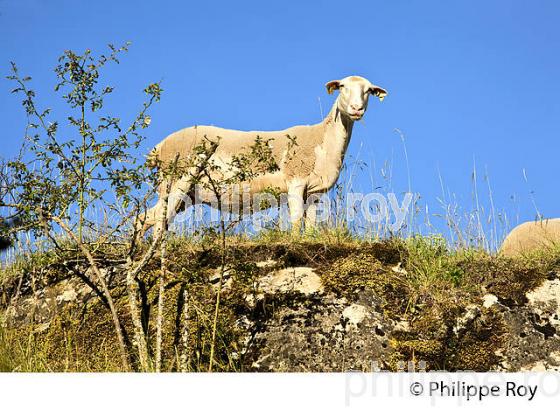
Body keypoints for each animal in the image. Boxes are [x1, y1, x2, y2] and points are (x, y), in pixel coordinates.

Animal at [138, 74, 388, 234]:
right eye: (343, 87)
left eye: (368, 91)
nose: (357, 109)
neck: (322, 140)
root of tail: (159, 147)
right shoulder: (295, 182)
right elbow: (296, 221)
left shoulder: (314, 192)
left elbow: (311, 225)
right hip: (175, 180)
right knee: (159, 219)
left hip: (188, 193)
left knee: (145, 218)